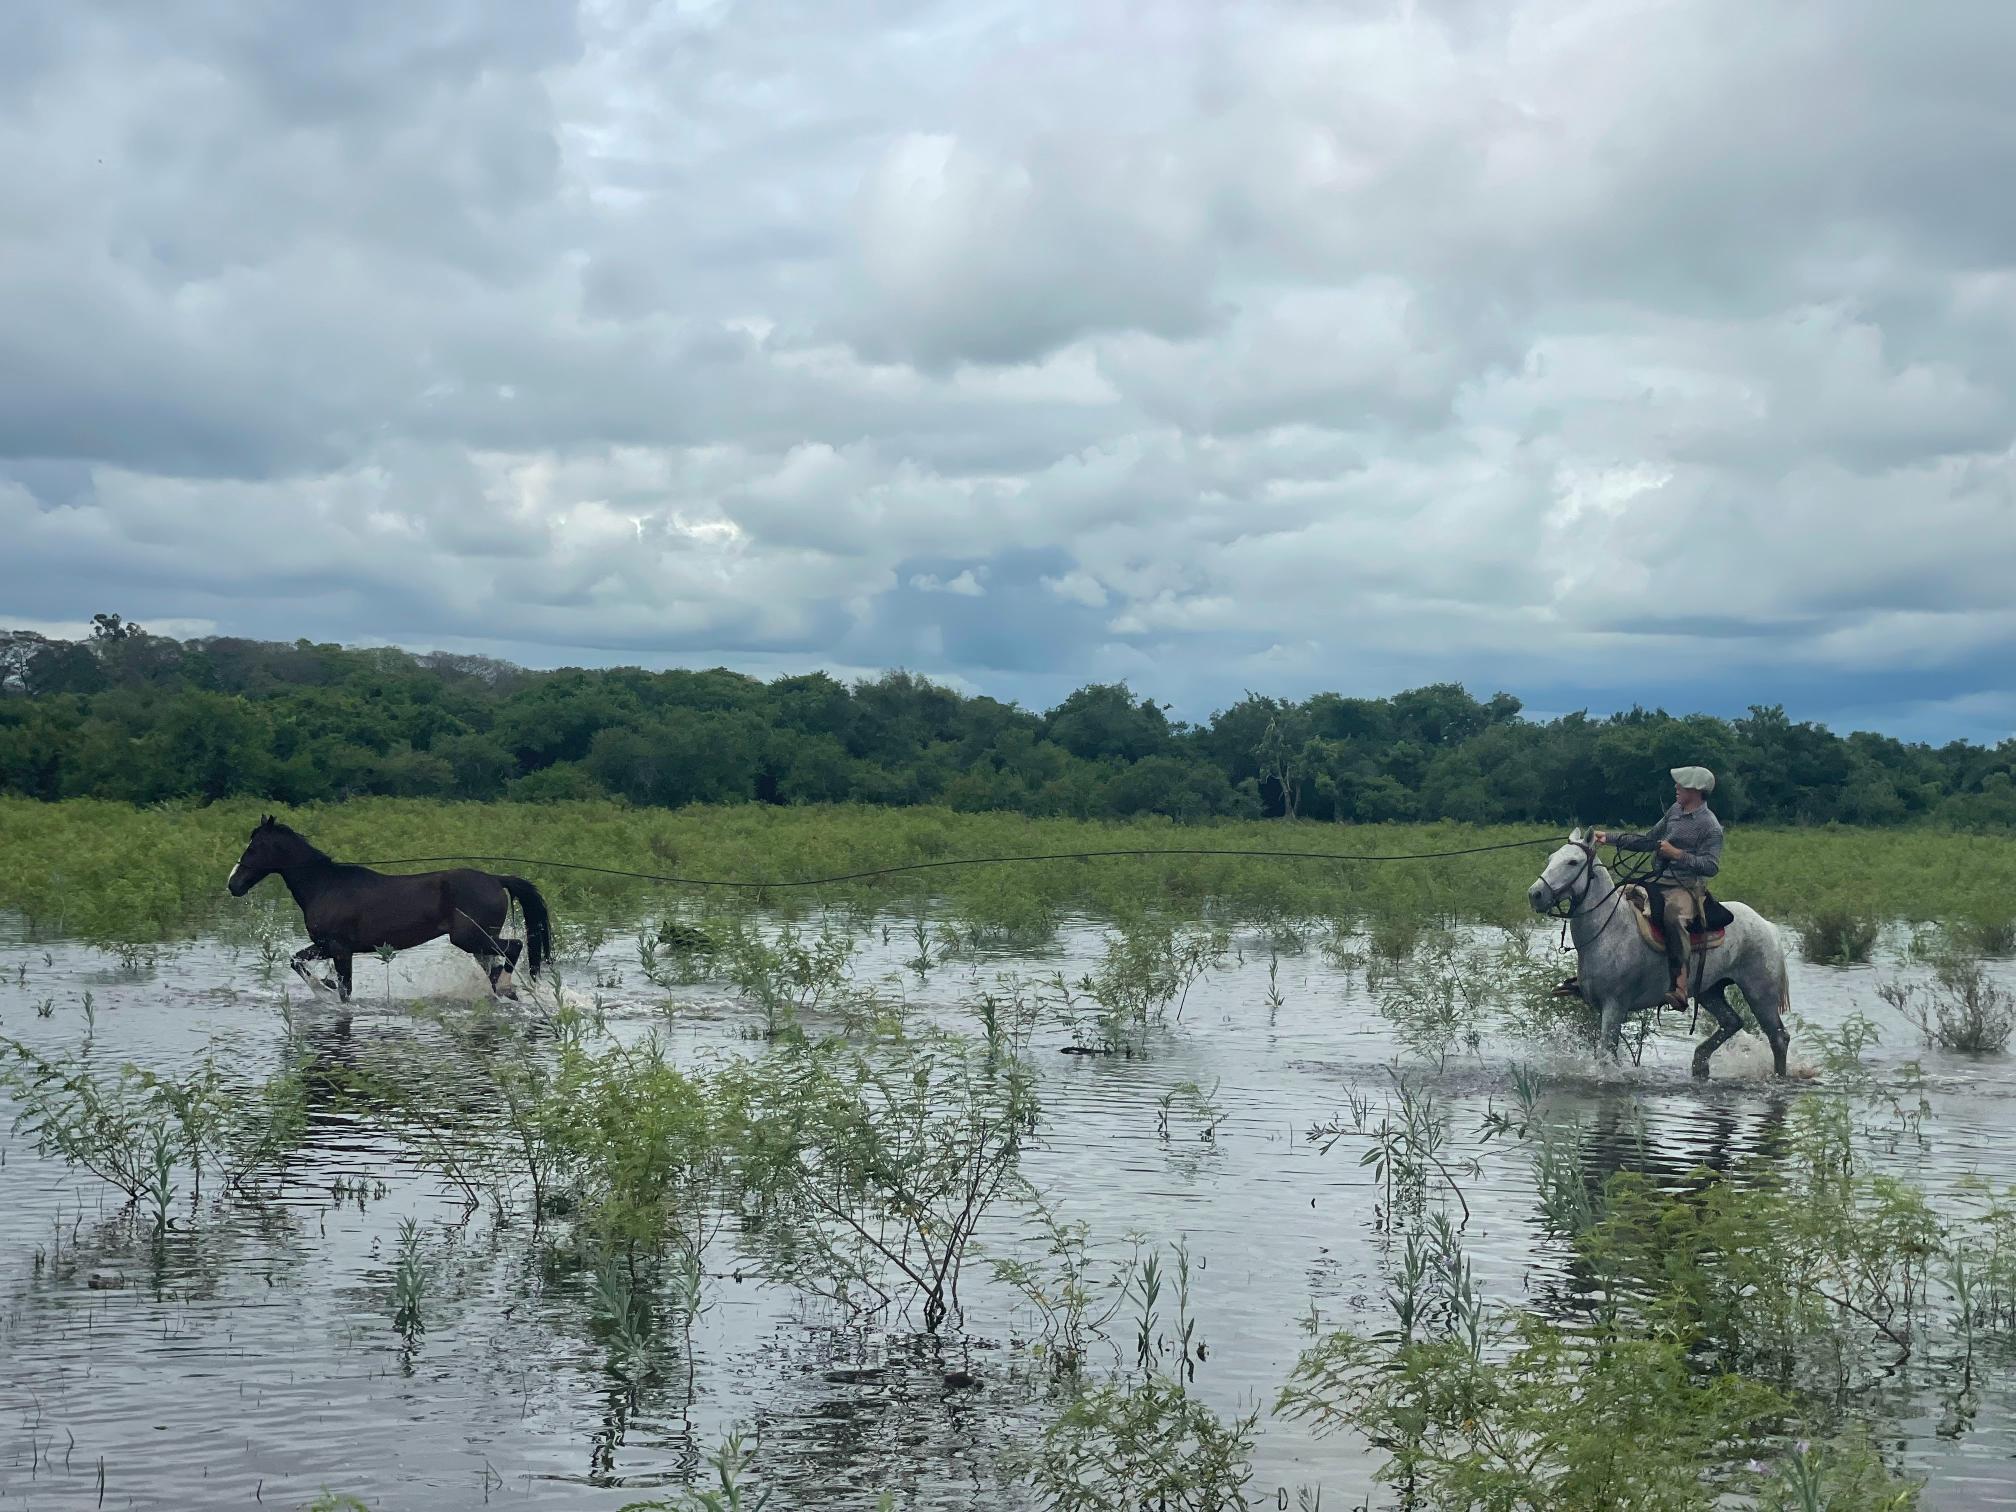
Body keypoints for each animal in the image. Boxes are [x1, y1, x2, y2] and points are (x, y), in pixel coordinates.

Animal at [225, 816, 551, 1004]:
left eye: (254, 848)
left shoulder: (340, 948)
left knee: (514, 946)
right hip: (475, 943)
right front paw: (323, 985)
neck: (326, 885)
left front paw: (325, 988)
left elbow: (345, 992)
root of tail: (495, 879)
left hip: (472, 937)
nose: (233, 884)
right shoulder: (325, 946)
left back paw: (507, 987)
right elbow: (297, 961)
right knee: (495, 965)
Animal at [1527, 828, 1790, 1079]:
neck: (1610, 929)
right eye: (1551, 858)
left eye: (1572, 862)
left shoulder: (1615, 1005)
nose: (1535, 894)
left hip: (1760, 994)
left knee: (1778, 1037)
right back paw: (1700, 1063)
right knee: (1732, 1022)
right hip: (1710, 991)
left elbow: (1605, 1053)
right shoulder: (1600, 1007)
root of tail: (1767, 925)